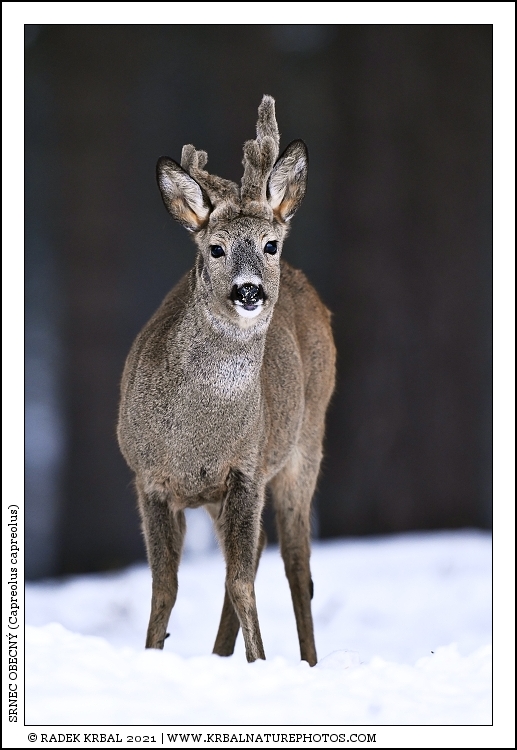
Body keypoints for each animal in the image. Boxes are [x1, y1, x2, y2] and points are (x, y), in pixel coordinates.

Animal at [117, 95, 336, 666]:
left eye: (270, 244)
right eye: (215, 249)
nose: (249, 290)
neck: (197, 438)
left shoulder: (246, 469)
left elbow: (240, 581)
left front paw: (260, 663)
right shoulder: (147, 476)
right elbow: (165, 586)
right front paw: (152, 653)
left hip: (305, 443)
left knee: (296, 565)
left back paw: (307, 661)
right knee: (259, 555)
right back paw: (219, 656)